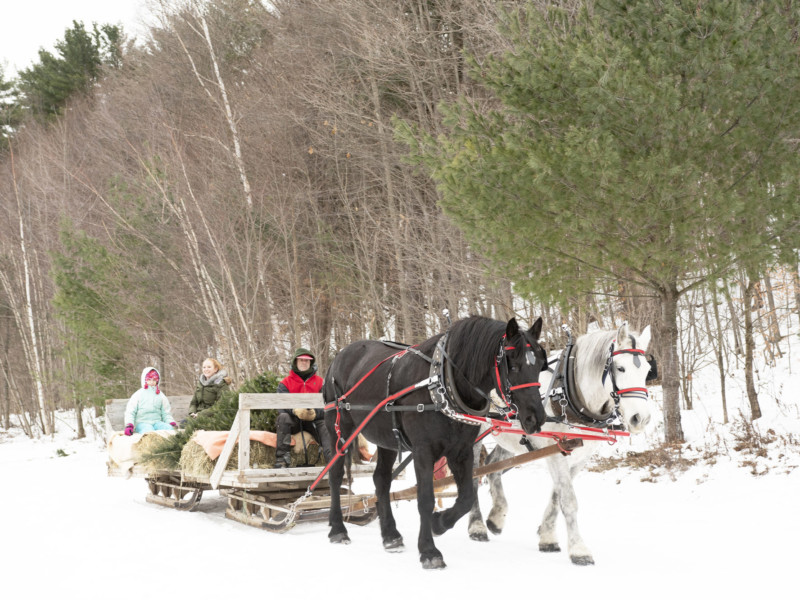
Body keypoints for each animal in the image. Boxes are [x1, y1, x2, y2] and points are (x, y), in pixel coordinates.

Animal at [322, 316, 548, 568]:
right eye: (513, 364)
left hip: (386, 437)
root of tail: (339, 356)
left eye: (540, 364)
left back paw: (390, 535)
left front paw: (439, 523)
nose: (535, 418)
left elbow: (466, 497)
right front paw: (429, 551)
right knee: (335, 475)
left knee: (381, 479)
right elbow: (426, 499)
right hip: (339, 429)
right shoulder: (423, 451)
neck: (443, 383)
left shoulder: (461, 451)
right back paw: (338, 529)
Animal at [468, 322, 648, 564]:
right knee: (472, 472)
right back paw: (476, 526)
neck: (568, 394)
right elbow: (568, 500)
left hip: (511, 437)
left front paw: (547, 537)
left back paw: (497, 517)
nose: (641, 418)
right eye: (620, 368)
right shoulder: (555, 453)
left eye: (647, 369)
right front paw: (579, 549)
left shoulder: (578, 457)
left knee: (492, 466)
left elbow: (556, 497)